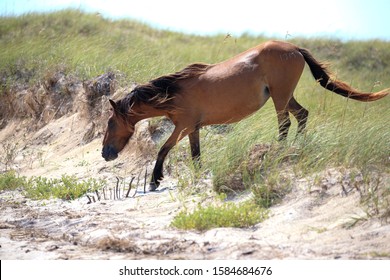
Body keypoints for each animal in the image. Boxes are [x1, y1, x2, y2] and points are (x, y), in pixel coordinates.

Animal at [102, 40, 388, 191]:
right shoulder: (193, 128)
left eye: (110, 123)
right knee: (302, 115)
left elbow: (163, 149)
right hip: (285, 96)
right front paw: (197, 176)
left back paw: (278, 151)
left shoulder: (182, 126)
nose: (105, 153)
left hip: (280, 97)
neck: (174, 93)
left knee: (285, 123)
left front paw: (154, 180)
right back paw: (298, 146)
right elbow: (196, 155)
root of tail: (294, 48)